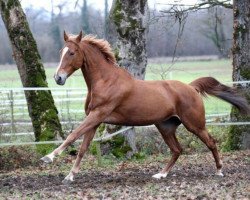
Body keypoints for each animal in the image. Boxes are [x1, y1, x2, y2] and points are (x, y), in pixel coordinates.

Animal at [41, 30, 250, 183]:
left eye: (72, 52)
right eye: (61, 52)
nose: (58, 78)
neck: (105, 81)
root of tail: (191, 87)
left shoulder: (97, 115)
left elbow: (73, 135)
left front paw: (48, 158)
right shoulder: (94, 119)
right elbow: (83, 147)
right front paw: (70, 176)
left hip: (195, 125)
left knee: (211, 143)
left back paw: (219, 171)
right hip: (166, 126)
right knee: (177, 150)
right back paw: (161, 174)